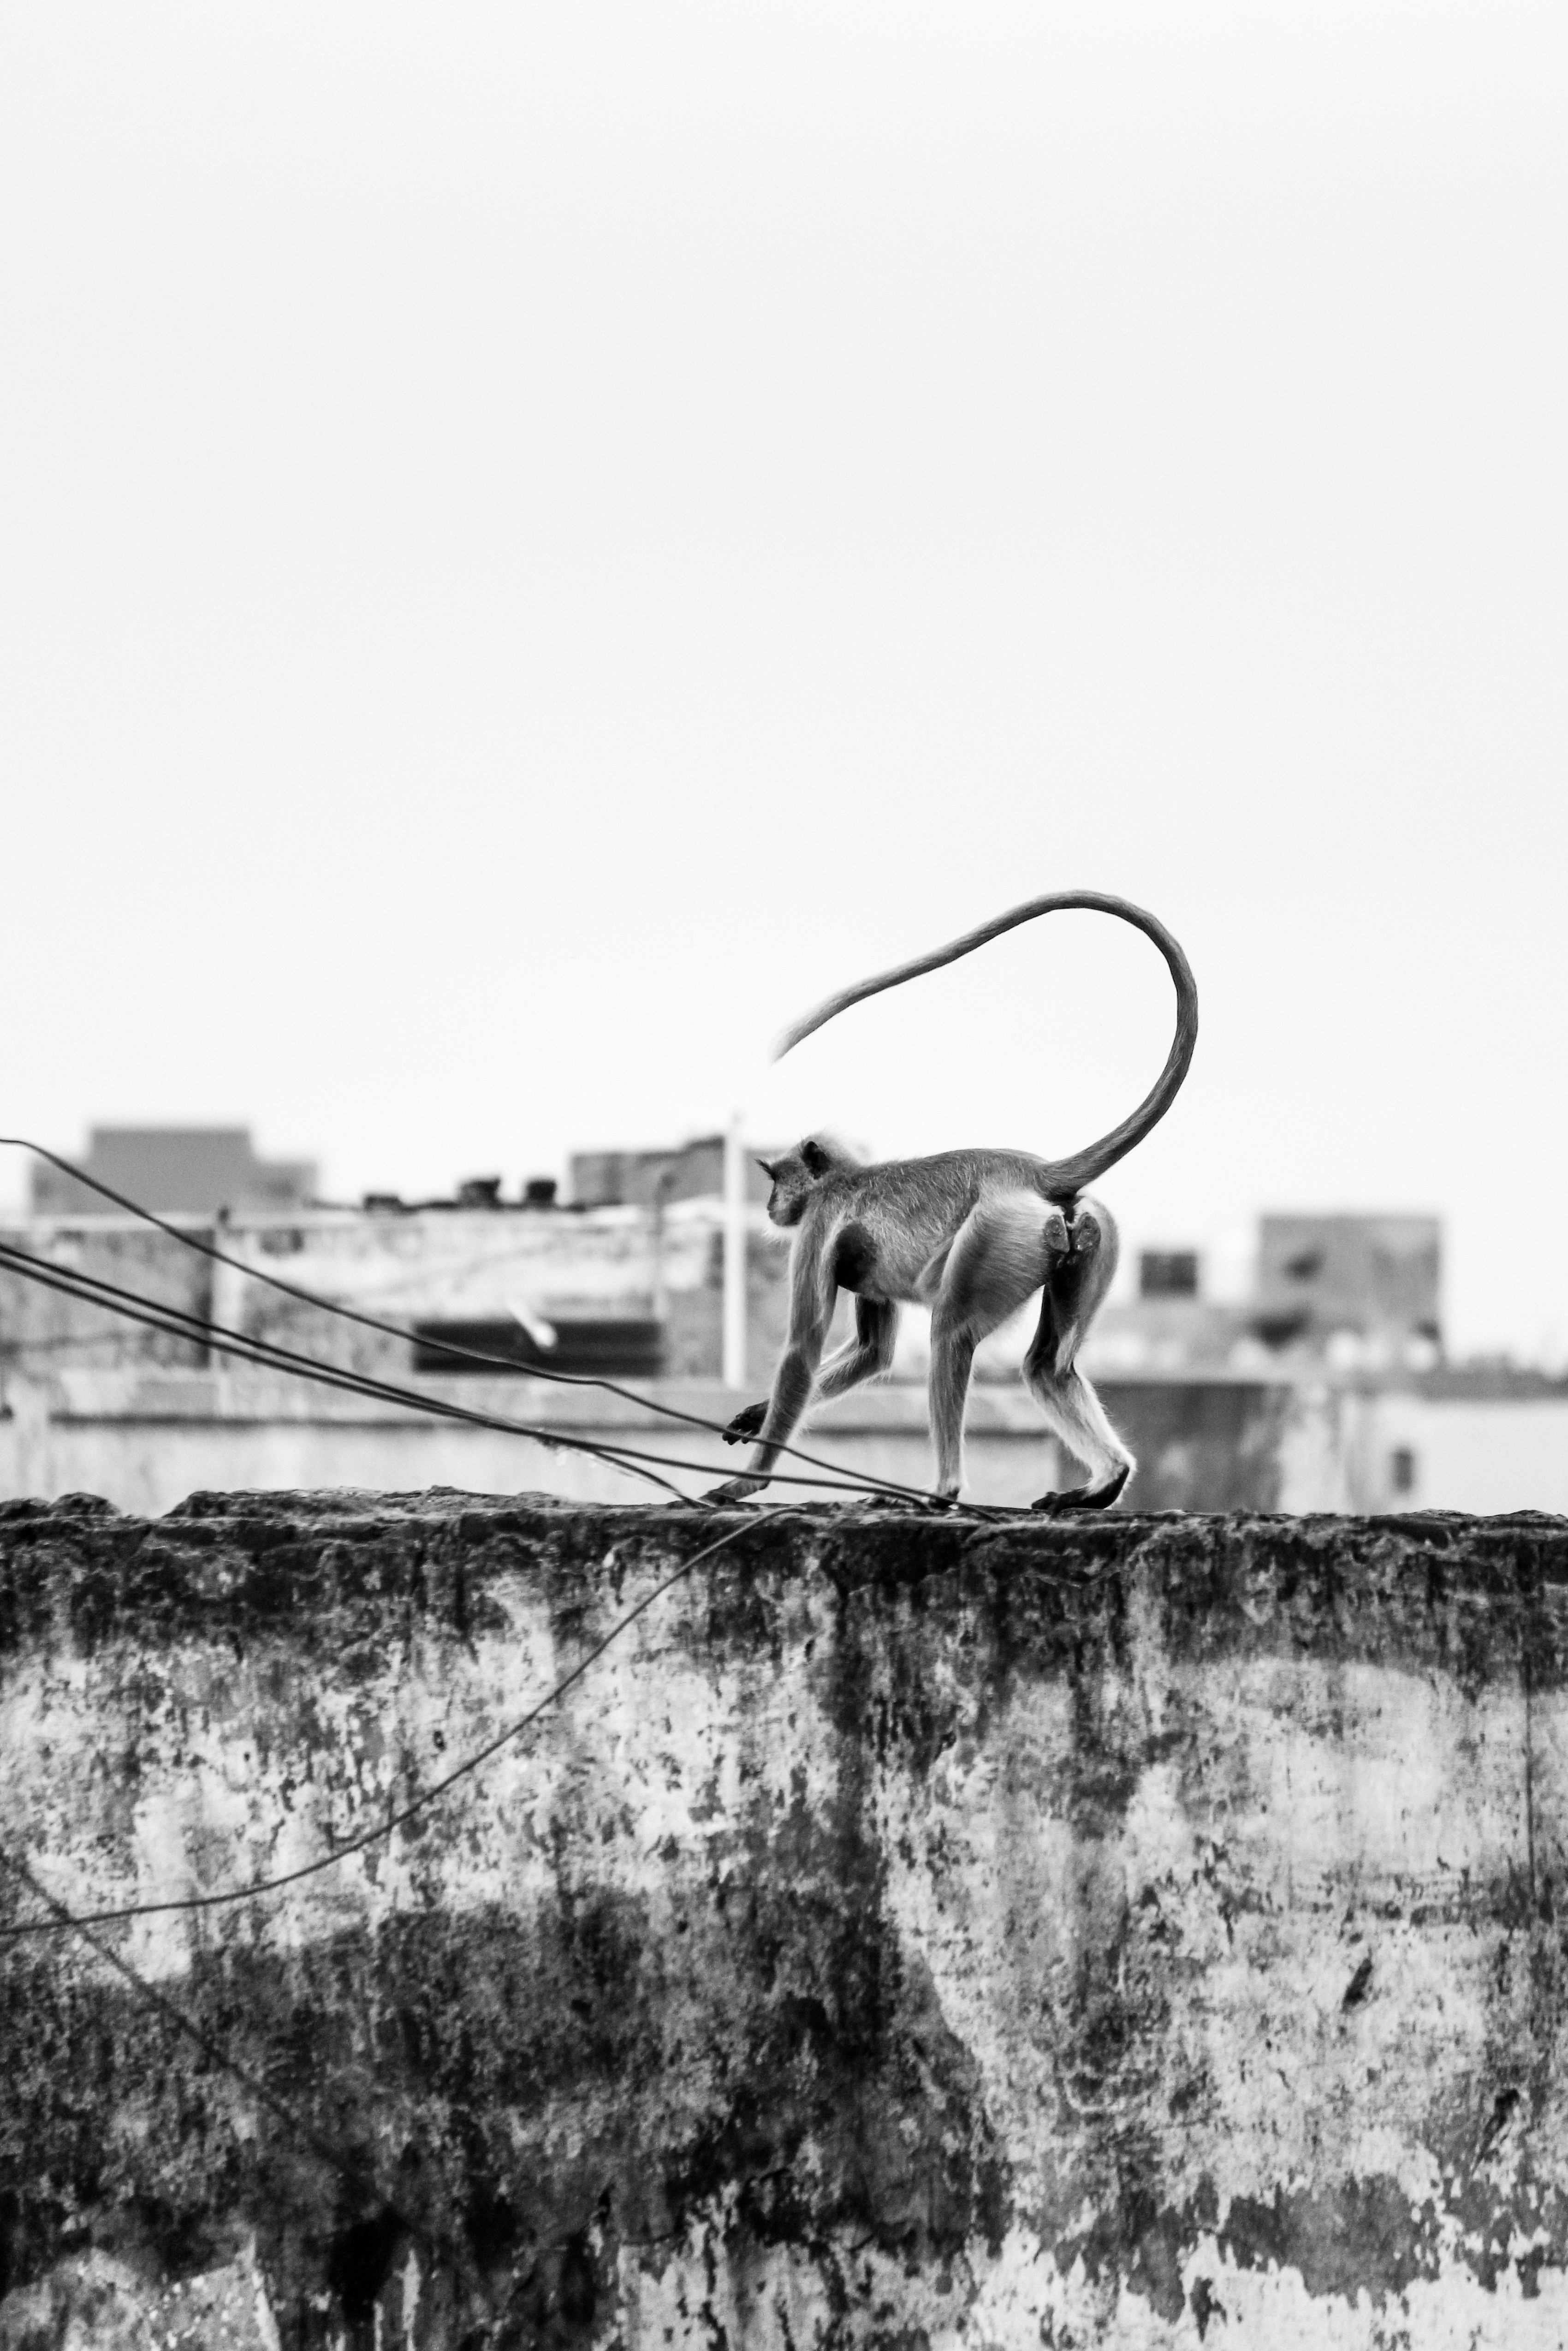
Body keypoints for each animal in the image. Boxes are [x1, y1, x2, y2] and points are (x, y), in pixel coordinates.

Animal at [706, 891, 1197, 1513]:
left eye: (775, 1180)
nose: (772, 1206)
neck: (848, 1178)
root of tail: (1030, 1171)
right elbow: (872, 1353)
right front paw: (755, 1415)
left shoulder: (819, 1221)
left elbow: (801, 1350)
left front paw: (747, 1483)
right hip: (1086, 1233)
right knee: (1048, 1366)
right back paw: (1105, 1480)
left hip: (996, 1233)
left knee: (951, 1334)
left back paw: (943, 1490)